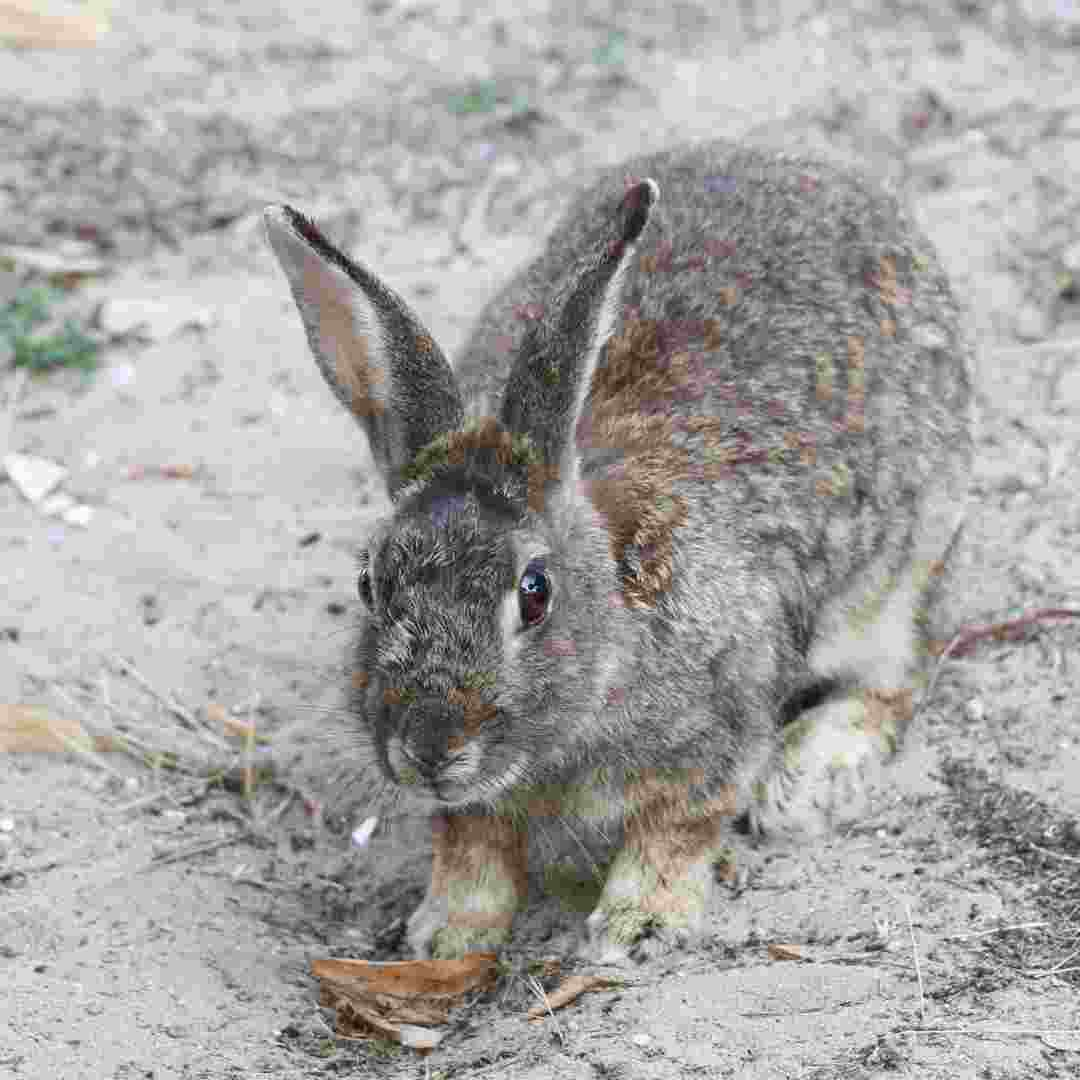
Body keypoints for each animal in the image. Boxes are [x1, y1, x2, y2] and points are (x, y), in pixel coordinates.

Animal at [265, 137, 976, 963]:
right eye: (369, 586)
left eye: (534, 593)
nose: (431, 745)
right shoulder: (478, 804)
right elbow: (473, 844)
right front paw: (448, 936)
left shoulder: (718, 731)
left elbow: (677, 828)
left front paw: (638, 926)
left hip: (897, 576)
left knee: (896, 679)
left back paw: (805, 780)